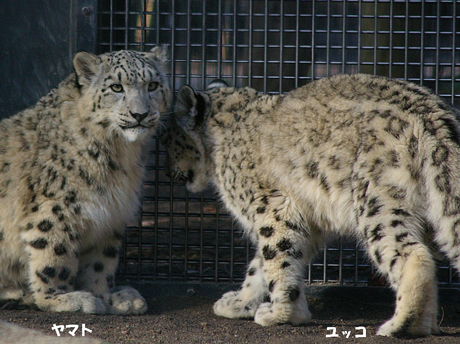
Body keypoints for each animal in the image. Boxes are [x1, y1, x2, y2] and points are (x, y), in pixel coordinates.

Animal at [0, 47, 172, 314]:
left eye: (153, 85)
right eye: (116, 87)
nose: (140, 114)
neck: (121, 158)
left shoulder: (111, 214)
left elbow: (101, 262)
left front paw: (109, 297)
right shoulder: (53, 209)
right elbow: (54, 257)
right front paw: (62, 298)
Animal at [161, 74, 460, 338]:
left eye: (166, 140)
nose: (167, 173)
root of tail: (432, 115)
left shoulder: (272, 209)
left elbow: (277, 259)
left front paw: (282, 314)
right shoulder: (308, 222)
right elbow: (261, 264)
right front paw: (240, 302)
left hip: (378, 202)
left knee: (412, 254)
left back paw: (400, 326)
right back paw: (425, 324)